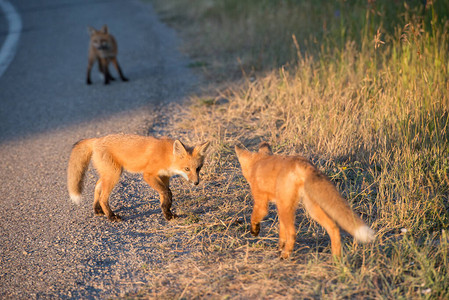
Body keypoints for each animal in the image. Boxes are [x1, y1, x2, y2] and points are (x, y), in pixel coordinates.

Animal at [67, 135, 210, 221]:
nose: (196, 183)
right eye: (187, 169)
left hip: (108, 173)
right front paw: (167, 212)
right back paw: (111, 216)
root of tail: (97, 139)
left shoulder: (164, 177)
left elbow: (166, 195)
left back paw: (97, 209)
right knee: (103, 197)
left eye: (198, 168)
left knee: (97, 187)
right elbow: (166, 192)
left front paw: (167, 213)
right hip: (114, 174)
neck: (166, 156)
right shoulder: (148, 175)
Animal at [234, 142, 374, 258]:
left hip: (287, 206)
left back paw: (285, 255)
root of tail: (303, 162)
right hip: (309, 208)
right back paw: (336, 258)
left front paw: (254, 231)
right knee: (333, 227)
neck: (259, 162)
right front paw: (280, 246)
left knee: (293, 233)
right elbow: (282, 230)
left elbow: (255, 216)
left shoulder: (261, 201)